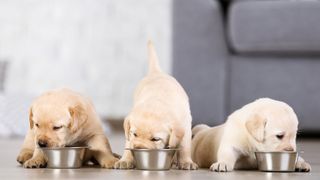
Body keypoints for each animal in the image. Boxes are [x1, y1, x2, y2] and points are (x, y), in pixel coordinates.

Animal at [112, 40, 198, 170]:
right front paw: (125, 160)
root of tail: (157, 72)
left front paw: (186, 162)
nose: (138, 148)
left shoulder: (185, 126)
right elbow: (128, 142)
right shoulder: (129, 134)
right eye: (135, 134)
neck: (157, 102)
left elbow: (184, 147)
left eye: (156, 139)